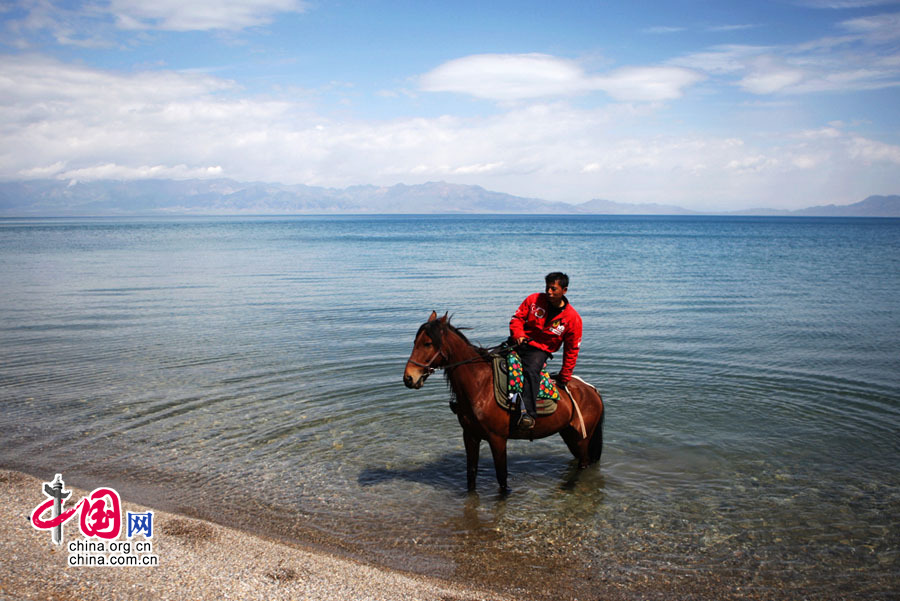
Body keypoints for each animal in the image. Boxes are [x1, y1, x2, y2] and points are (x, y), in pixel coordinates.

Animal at [402, 312, 604, 490]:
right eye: (414, 342)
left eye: (427, 343)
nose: (409, 378)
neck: (481, 385)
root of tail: (591, 390)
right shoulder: (470, 436)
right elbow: (471, 474)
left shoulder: (497, 439)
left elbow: (502, 477)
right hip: (569, 435)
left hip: (582, 439)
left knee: (584, 464)